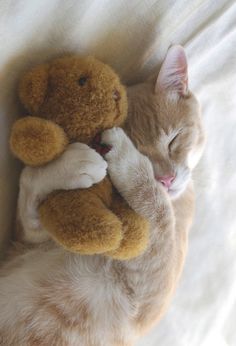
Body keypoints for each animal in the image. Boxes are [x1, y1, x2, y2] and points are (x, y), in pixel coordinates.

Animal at [0, 46, 205, 346]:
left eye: (173, 140)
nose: (166, 180)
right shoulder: (23, 244)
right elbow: (28, 183)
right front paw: (70, 163)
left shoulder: (147, 294)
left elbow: (159, 210)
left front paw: (124, 159)